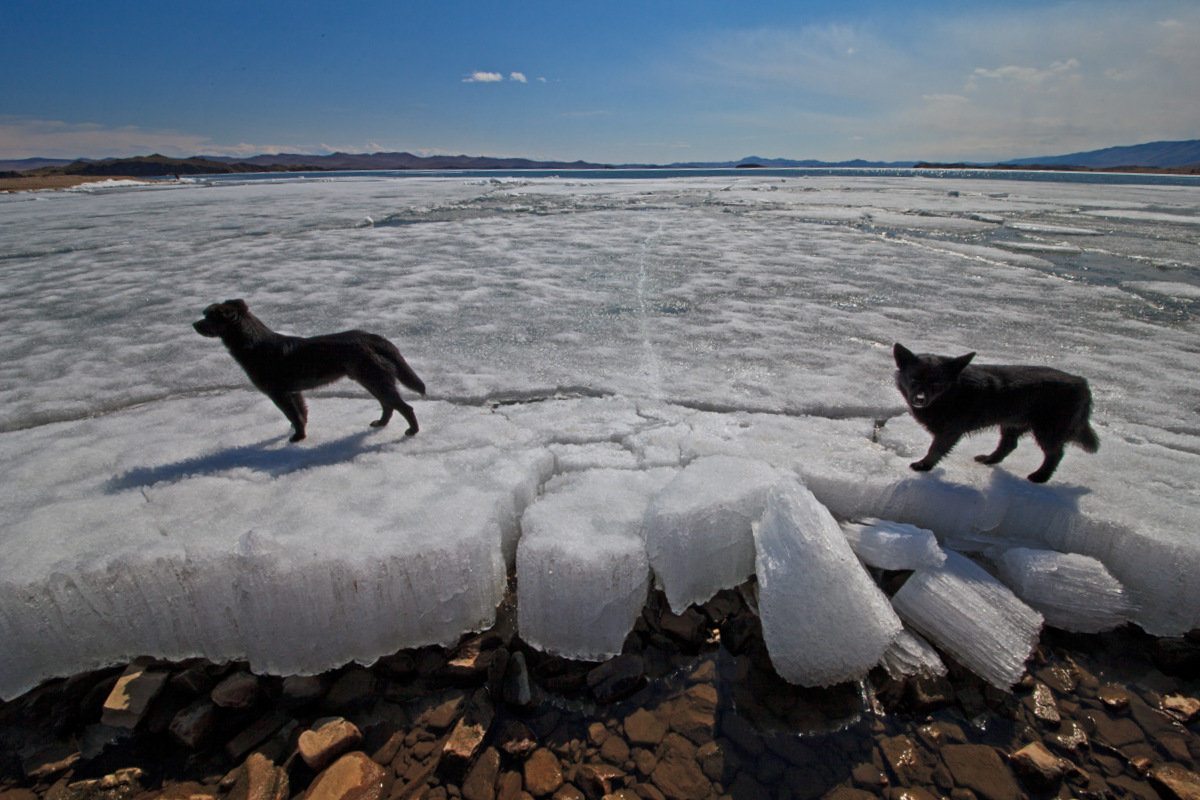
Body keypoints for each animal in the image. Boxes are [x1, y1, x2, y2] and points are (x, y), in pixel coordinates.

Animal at [193, 298, 427, 441]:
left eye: (209, 316)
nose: (193, 324)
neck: (254, 345)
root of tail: (372, 337)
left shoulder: (279, 393)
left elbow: (294, 416)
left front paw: (297, 438)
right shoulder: (294, 392)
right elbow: (300, 414)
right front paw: (298, 432)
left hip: (374, 379)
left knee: (405, 407)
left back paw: (412, 431)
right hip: (371, 379)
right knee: (388, 405)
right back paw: (380, 423)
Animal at [892, 343, 1099, 484]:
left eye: (936, 383)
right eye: (913, 379)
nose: (919, 399)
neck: (950, 394)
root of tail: (1082, 383)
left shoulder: (950, 431)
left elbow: (935, 449)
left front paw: (923, 466)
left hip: (1047, 430)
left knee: (1055, 454)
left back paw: (1040, 476)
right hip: (1012, 424)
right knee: (1009, 445)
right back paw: (989, 459)